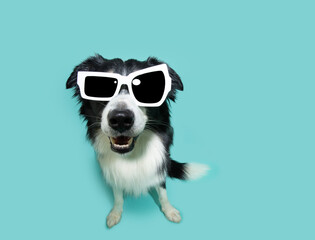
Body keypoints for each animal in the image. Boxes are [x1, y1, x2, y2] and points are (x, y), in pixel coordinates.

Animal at [66, 54, 210, 229]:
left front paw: (169, 210)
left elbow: (162, 192)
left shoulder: (159, 167)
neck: (131, 156)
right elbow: (118, 195)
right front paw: (115, 212)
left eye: (146, 88)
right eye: (100, 86)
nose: (121, 119)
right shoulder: (113, 172)